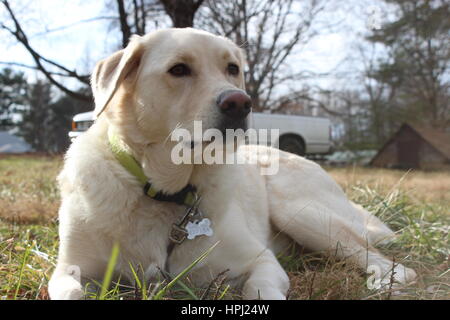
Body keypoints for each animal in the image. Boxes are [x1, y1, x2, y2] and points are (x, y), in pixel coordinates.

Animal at [47, 28, 416, 300]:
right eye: (178, 69)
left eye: (232, 69)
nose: (240, 103)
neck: (167, 192)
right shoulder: (69, 270)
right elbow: (71, 291)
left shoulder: (260, 261)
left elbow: (260, 287)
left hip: (300, 210)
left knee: (383, 259)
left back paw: (386, 281)